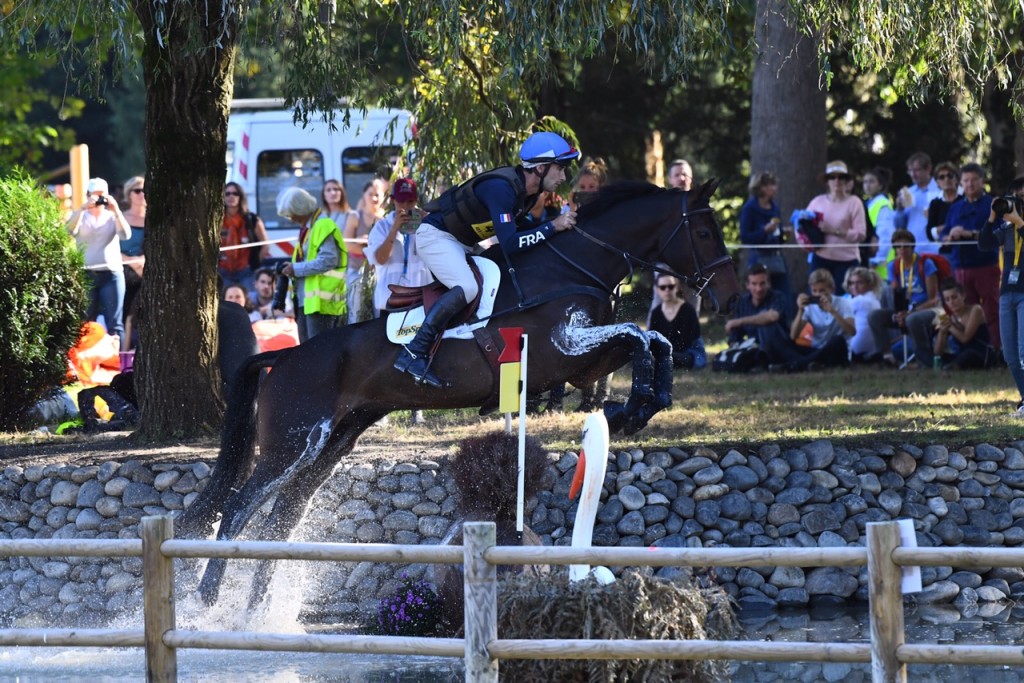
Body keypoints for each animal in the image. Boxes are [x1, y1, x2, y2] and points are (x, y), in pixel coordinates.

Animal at [176, 179, 737, 606]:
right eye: (704, 230)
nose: (727, 295)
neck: (571, 266)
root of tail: (286, 356)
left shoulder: (585, 363)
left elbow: (654, 340)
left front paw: (642, 405)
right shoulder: (566, 350)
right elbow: (640, 336)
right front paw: (634, 404)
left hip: (334, 442)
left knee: (282, 517)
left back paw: (256, 610)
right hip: (293, 443)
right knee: (239, 510)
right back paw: (207, 602)